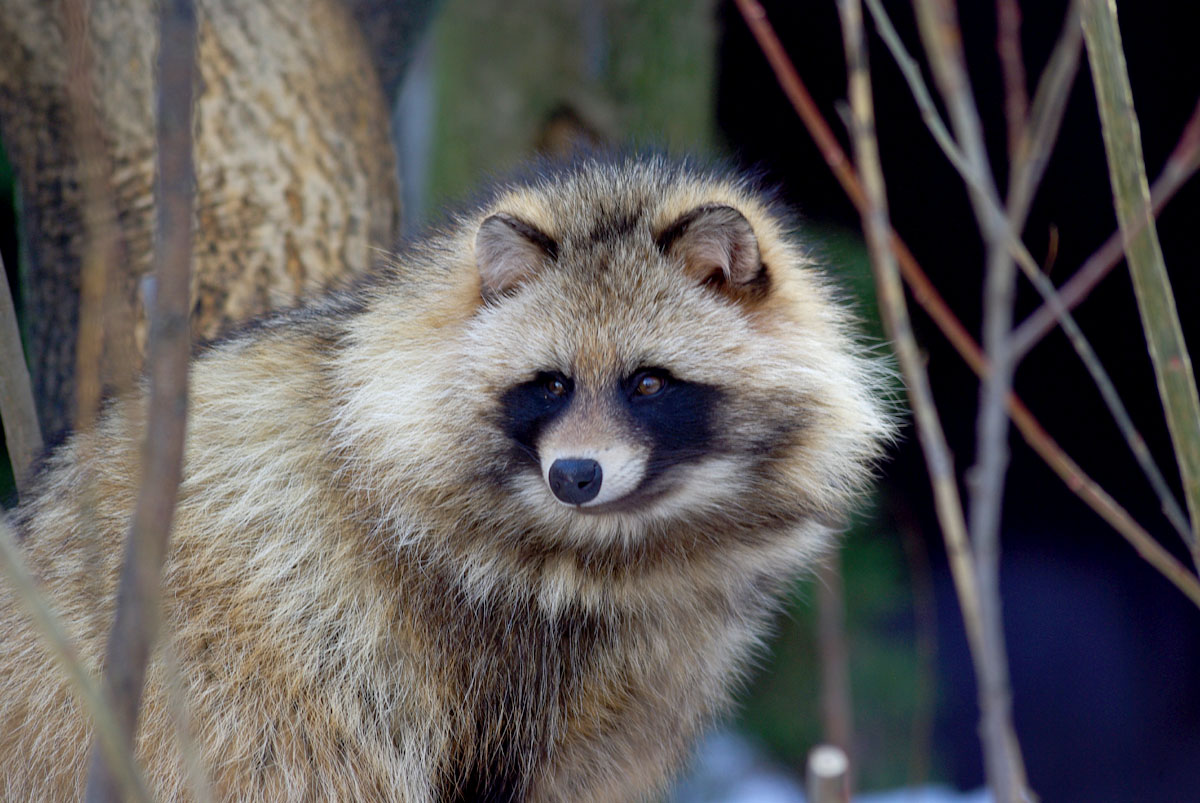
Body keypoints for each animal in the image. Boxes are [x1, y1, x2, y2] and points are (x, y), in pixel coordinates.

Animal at [0, 153, 892, 796]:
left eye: (648, 382)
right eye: (551, 384)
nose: (575, 474)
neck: (616, 546)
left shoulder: (631, 693)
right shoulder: (448, 641)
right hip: (225, 690)